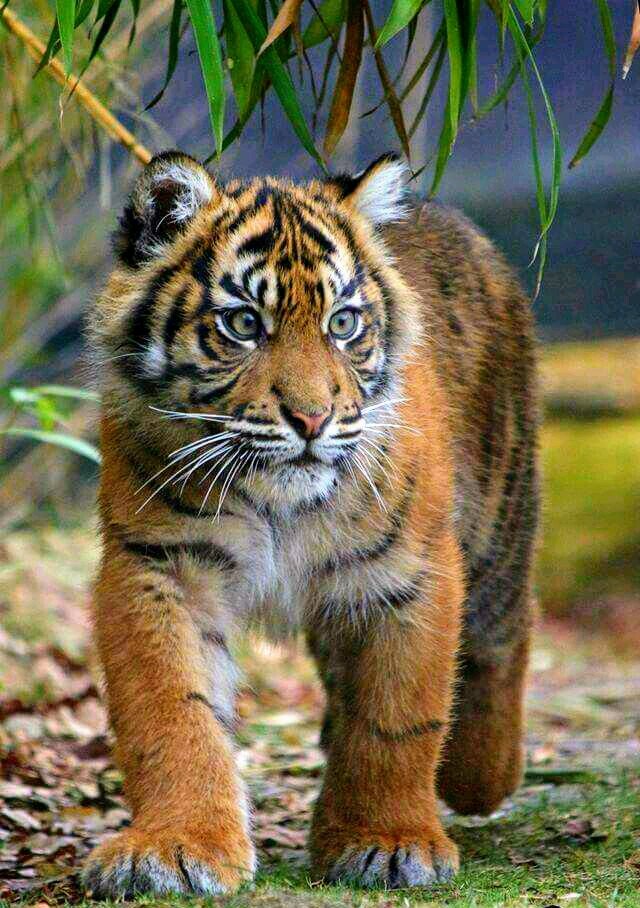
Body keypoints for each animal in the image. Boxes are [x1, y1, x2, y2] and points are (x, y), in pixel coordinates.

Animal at [83, 150, 539, 897]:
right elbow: (171, 710)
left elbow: (396, 717)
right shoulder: (160, 566)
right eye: (243, 324)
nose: (311, 419)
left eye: (343, 324)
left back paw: (480, 774)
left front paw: (388, 842)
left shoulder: (407, 573)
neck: (277, 503)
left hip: (501, 513)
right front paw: (175, 846)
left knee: (507, 623)